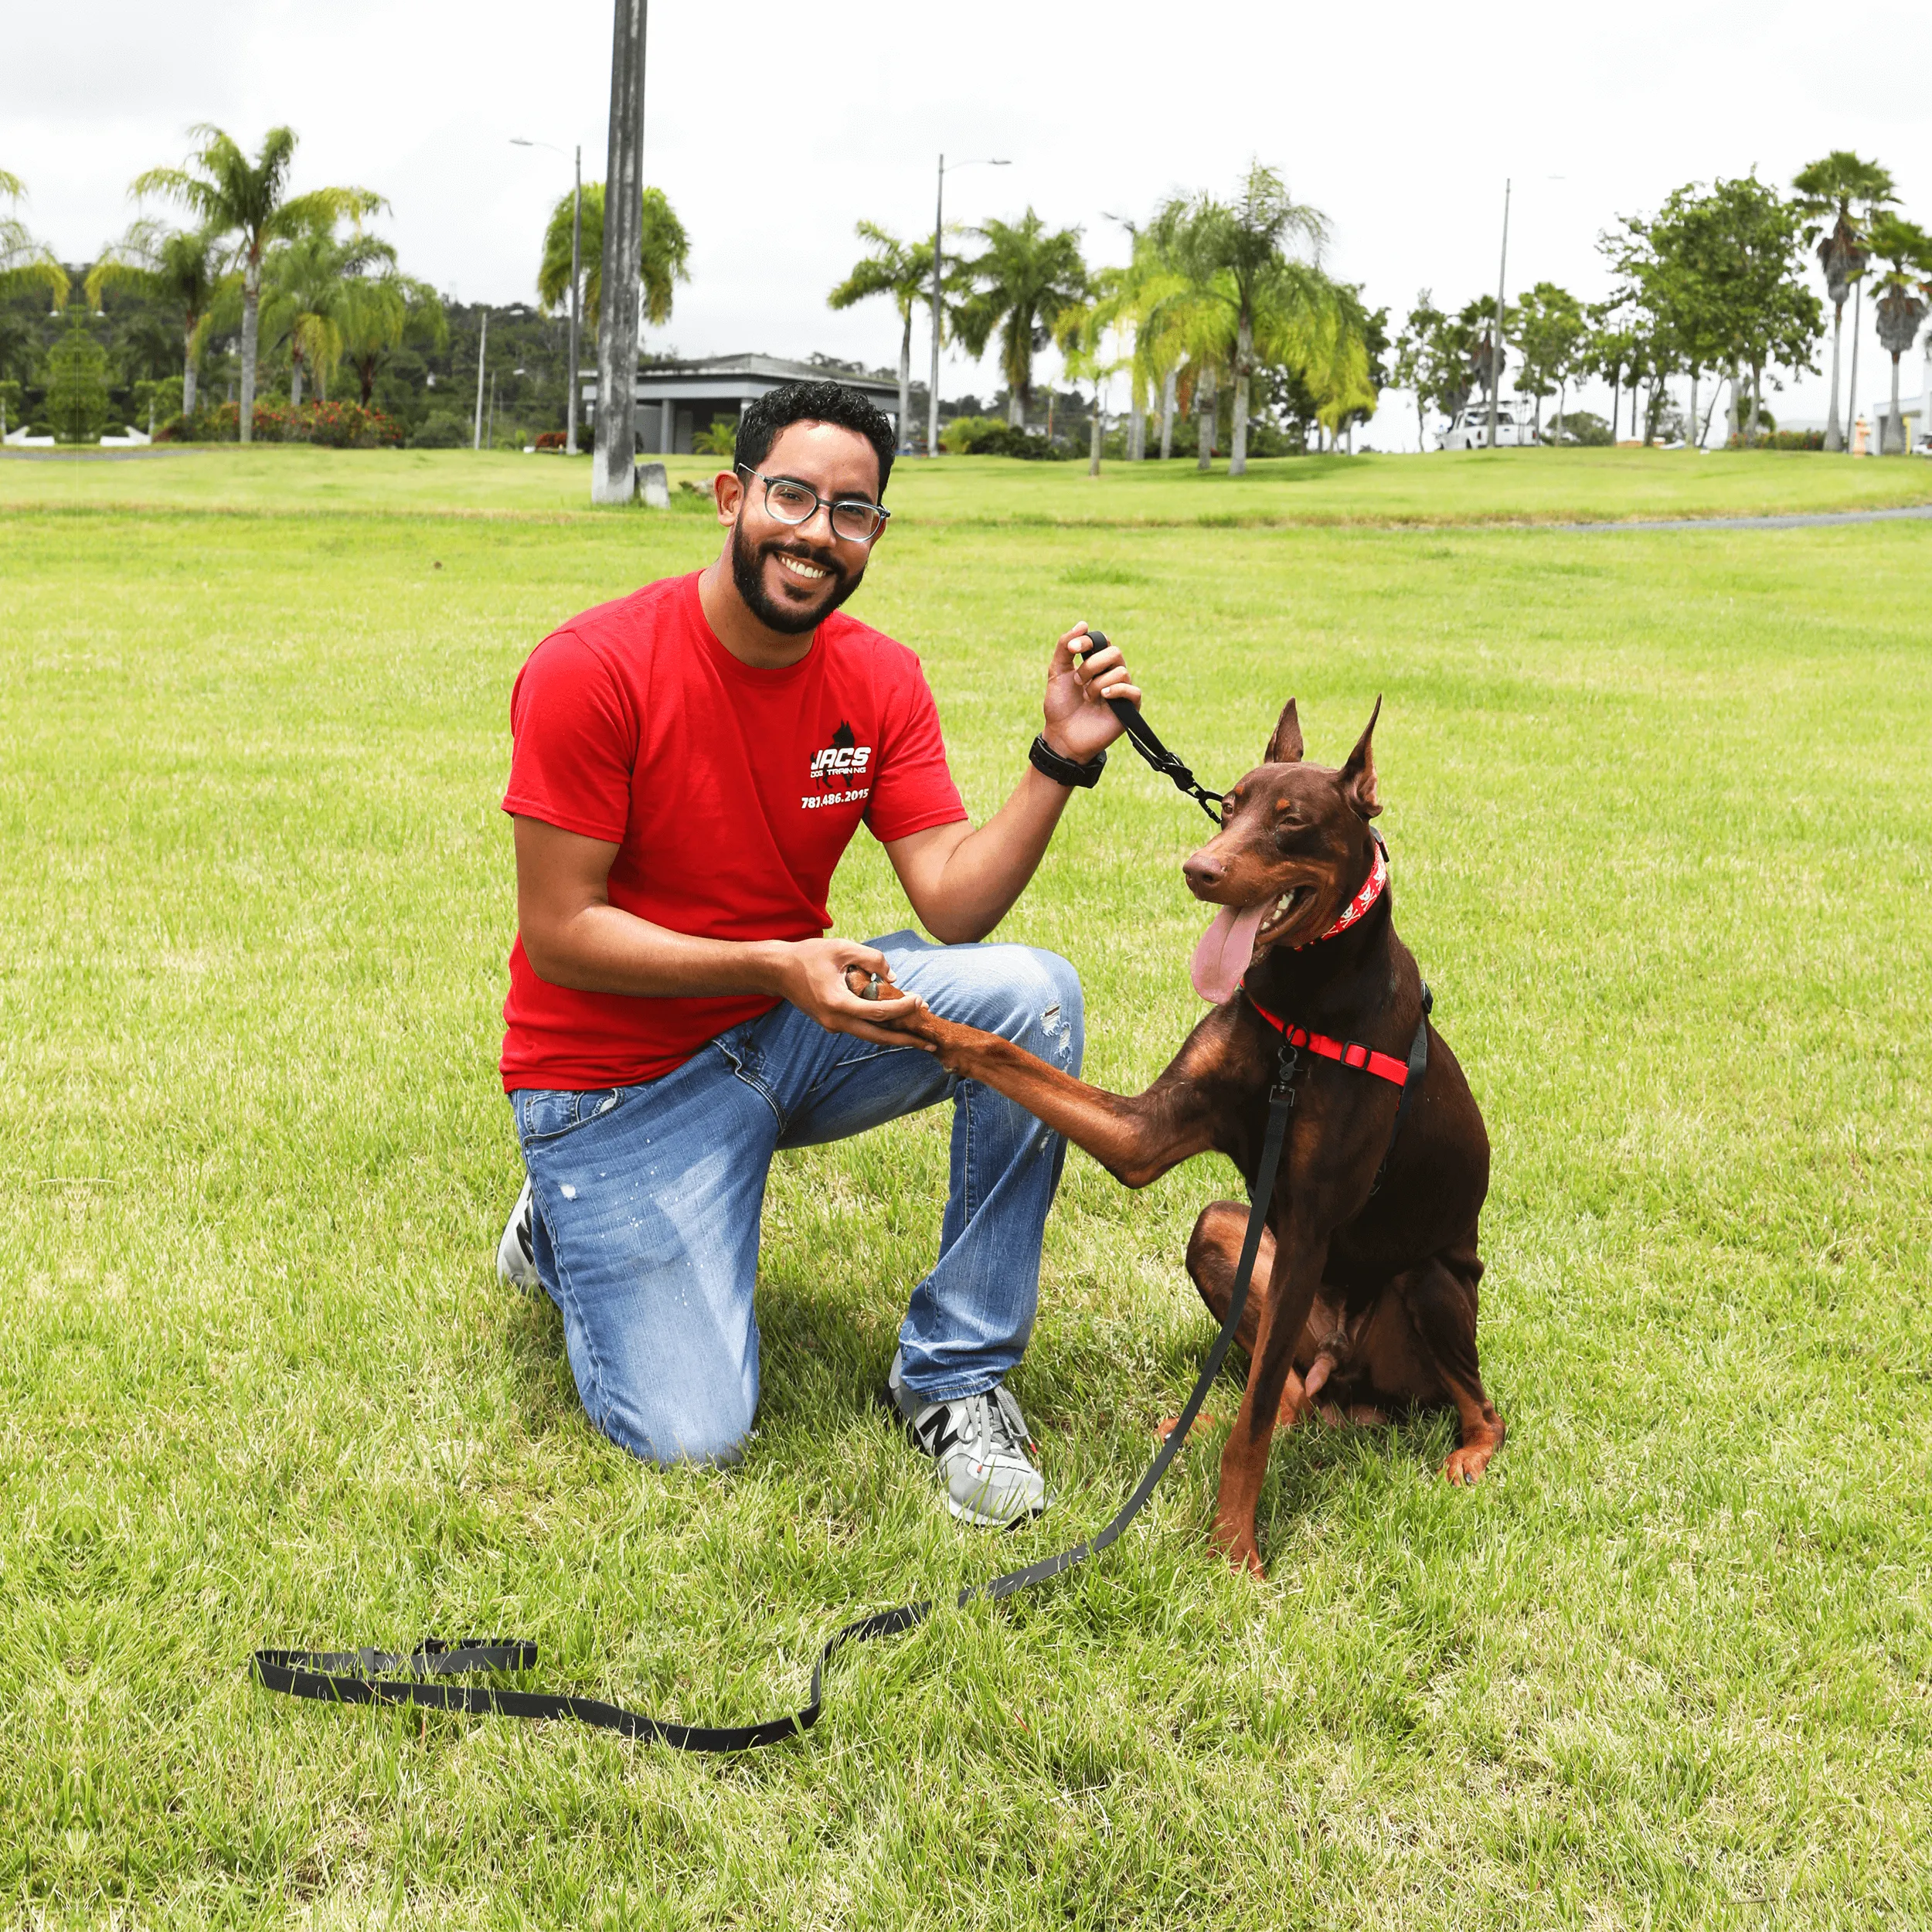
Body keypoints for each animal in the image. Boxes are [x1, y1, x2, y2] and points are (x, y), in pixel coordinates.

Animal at [869, 696, 1499, 1569]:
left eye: (1291, 821)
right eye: (1229, 806)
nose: (1199, 869)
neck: (1302, 999)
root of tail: (1347, 1372)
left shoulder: (1310, 1227)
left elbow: (1254, 1425)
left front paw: (1234, 1552)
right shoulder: (1149, 1132)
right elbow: (998, 1051)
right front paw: (898, 1008)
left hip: (1426, 1284)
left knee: (1472, 1403)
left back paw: (1469, 1453)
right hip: (1227, 1236)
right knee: (1289, 1392)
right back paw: (1199, 1422)